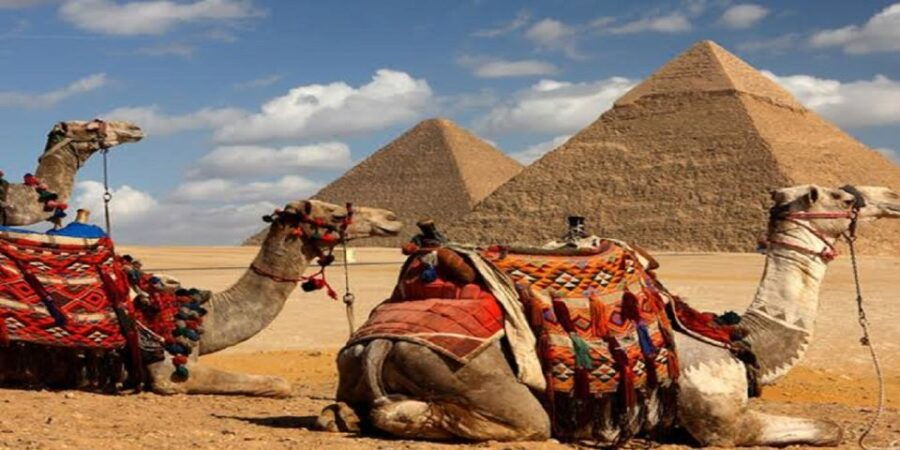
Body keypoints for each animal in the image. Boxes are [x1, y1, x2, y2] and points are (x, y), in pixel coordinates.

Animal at [328, 184, 900, 446]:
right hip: (477, 379)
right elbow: (831, 428)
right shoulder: (718, 425)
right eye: (837, 192)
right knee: (522, 423)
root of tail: (376, 340)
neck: (738, 335)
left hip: (355, 367)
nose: (889, 195)